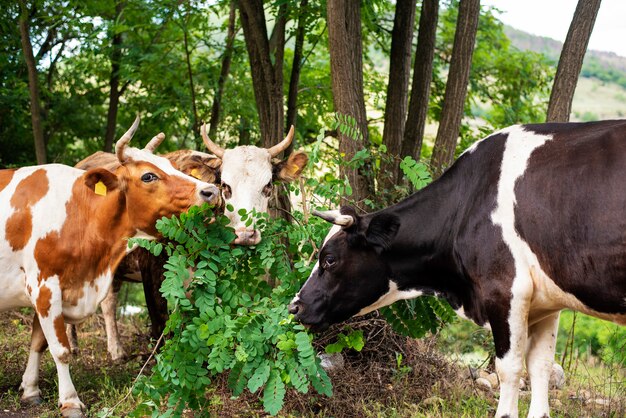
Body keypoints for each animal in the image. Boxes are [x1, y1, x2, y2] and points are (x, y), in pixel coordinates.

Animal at [0, 118, 219, 418]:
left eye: (171, 164)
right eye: (148, 176)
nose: (211, 192)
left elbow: (38, 342)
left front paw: (31, 389)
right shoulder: (44, 285)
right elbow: (59, 349)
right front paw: (69, 400)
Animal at [288, 120, 624, 418]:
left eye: (329, 259)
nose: (295, 306)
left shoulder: (505, 290)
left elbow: (510, 369)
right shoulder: (546, 302)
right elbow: (540, 367)